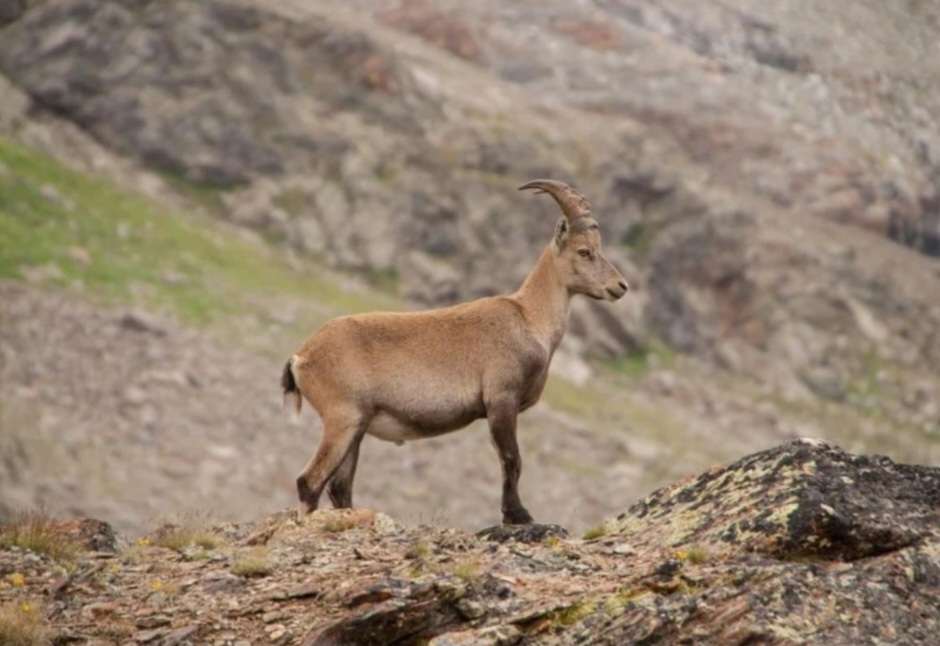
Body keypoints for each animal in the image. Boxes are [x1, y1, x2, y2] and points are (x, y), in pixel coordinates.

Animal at [282, 178, 628, 528]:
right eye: (584, 251)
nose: (620, 286)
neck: (529, 317)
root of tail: (300, 356)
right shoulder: (501, 398)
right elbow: (511, 459)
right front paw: (518, 515)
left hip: (356, 427)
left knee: (339, 486)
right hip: (343, 417)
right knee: (309, 481)